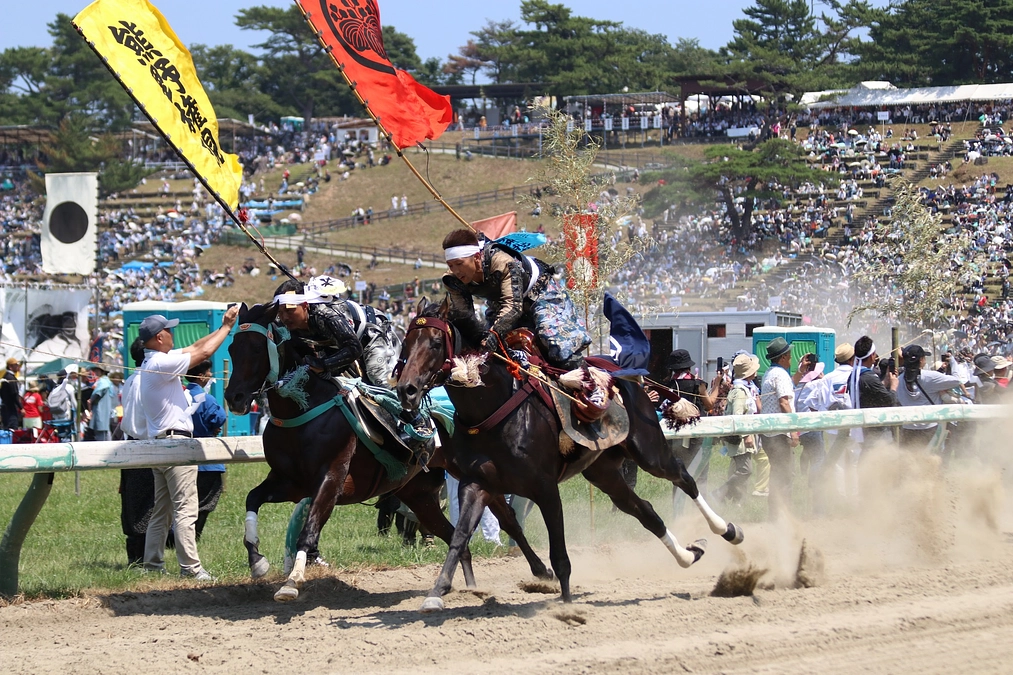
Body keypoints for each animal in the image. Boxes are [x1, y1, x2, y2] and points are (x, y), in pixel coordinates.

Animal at [224, 302, 551, 601]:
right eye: (232, 348)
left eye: (256, 348)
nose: (234, 398)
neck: (303, 407)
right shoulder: (290, 483)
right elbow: (253, 499)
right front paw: (257, 562)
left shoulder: (330, 480)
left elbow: (308, 531)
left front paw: (292, 582)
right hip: (419, 494)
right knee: (457, 539)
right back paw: (469, 589)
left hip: (478, 473)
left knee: (509, 520)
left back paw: (542, 572)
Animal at [396, 299, 744, 612]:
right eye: (406, 343)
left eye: (435, 342)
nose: (406, 389)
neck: (493, 410)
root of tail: (624, 372)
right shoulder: (477, 484)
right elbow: (460, 536)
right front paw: (437, 592)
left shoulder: (545, 489)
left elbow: (559, 554)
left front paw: (565, 605)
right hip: (603, 472)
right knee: (644, 511)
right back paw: (688, 555)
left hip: (649, 451)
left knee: (683, 478)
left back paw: (728, 530)